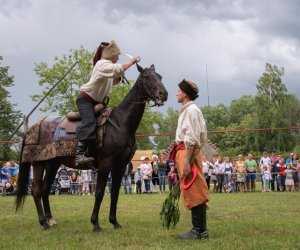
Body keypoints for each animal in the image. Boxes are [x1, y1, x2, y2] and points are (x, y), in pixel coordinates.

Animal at [15, 63, 169, 231]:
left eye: (160, 77)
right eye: (146, 76)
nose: (163, 94)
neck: (120, 123)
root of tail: (36, 125)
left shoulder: (120, 165)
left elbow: (115, 192)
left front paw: (114, 222)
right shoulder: (105, 163)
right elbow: (100, 192)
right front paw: (95, 223)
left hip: (52, 164)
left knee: (44, 189)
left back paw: (50, 220)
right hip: (38, 163)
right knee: (36, 190)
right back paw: (43, 222)